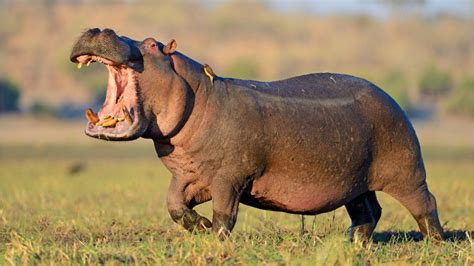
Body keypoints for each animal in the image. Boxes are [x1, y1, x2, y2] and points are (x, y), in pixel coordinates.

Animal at [69, 28, 444, 240]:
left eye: (151, 44)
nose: (100, 27)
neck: (198, 92)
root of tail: (391, 97)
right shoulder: (188, 175)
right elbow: (174, 205)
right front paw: (199, 227)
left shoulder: (228, 177)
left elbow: (225, 214)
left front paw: (216, 239)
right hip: (355, 179)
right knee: (368, 211)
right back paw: (350, 241)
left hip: (407, 171)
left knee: (425, 204)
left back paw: (435, 241)